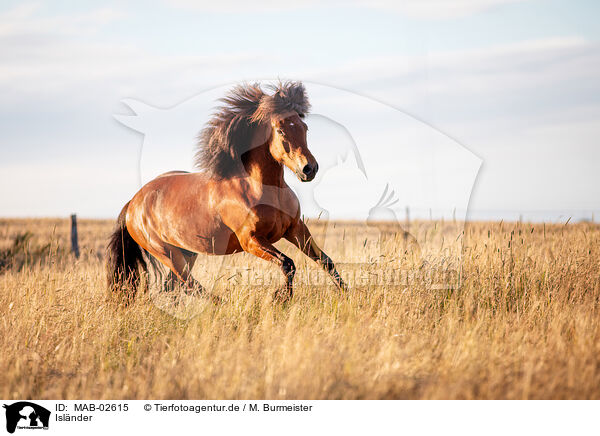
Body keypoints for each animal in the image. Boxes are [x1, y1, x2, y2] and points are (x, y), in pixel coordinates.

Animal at [108, 81, 346, 304]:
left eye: (304, 127)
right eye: (280, 129)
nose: (309, 169)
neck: (261, 190)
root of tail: (133, 203)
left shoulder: (295, 229)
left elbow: (325, 261)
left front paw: (347, 293)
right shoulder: (251, 240)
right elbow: (288, 264)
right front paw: (280, 299)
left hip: (187, 252)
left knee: (174, 286)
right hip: (167, 253)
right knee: (188, 284)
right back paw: (220, 303)